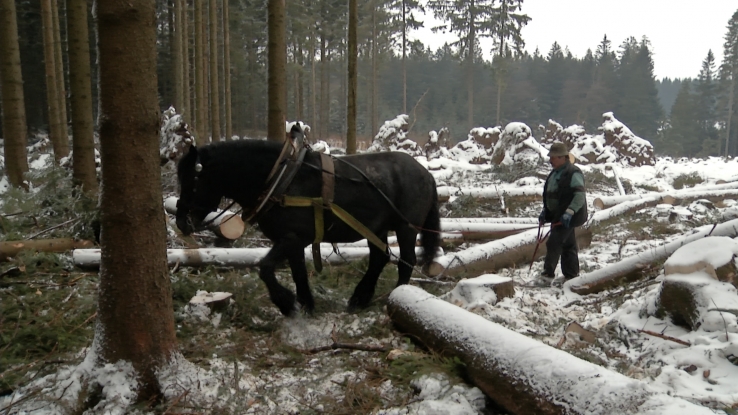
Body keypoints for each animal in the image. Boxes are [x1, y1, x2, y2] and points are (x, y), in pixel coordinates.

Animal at [175, 129, 440, 316]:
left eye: (193, 182)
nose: (180, 222)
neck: (280, 178)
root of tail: (426, 173)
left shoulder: (293, 238)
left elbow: (265, 267)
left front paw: (285, 303)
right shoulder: (294, 243)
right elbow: (299, 273)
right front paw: (306, 305)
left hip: (406, 228)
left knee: (406, 261)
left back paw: (396, 297)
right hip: (376, 228)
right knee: (379, 258)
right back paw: (359, 299)